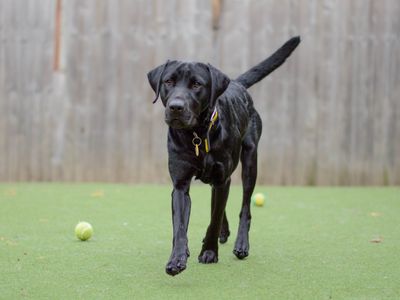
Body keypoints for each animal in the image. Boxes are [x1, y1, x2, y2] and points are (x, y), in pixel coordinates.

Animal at [148, 36, 300, 276]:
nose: (176, 107)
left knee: (244, 206)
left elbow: (216, 216)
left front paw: (209, 252)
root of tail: (236, 84)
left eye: (196, 84)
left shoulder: (223, 177)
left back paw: (241, 243)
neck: (198, 134)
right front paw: (177, 258)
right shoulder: (180, 184)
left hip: (250, 162)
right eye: (168, 81)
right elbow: (180, 226)